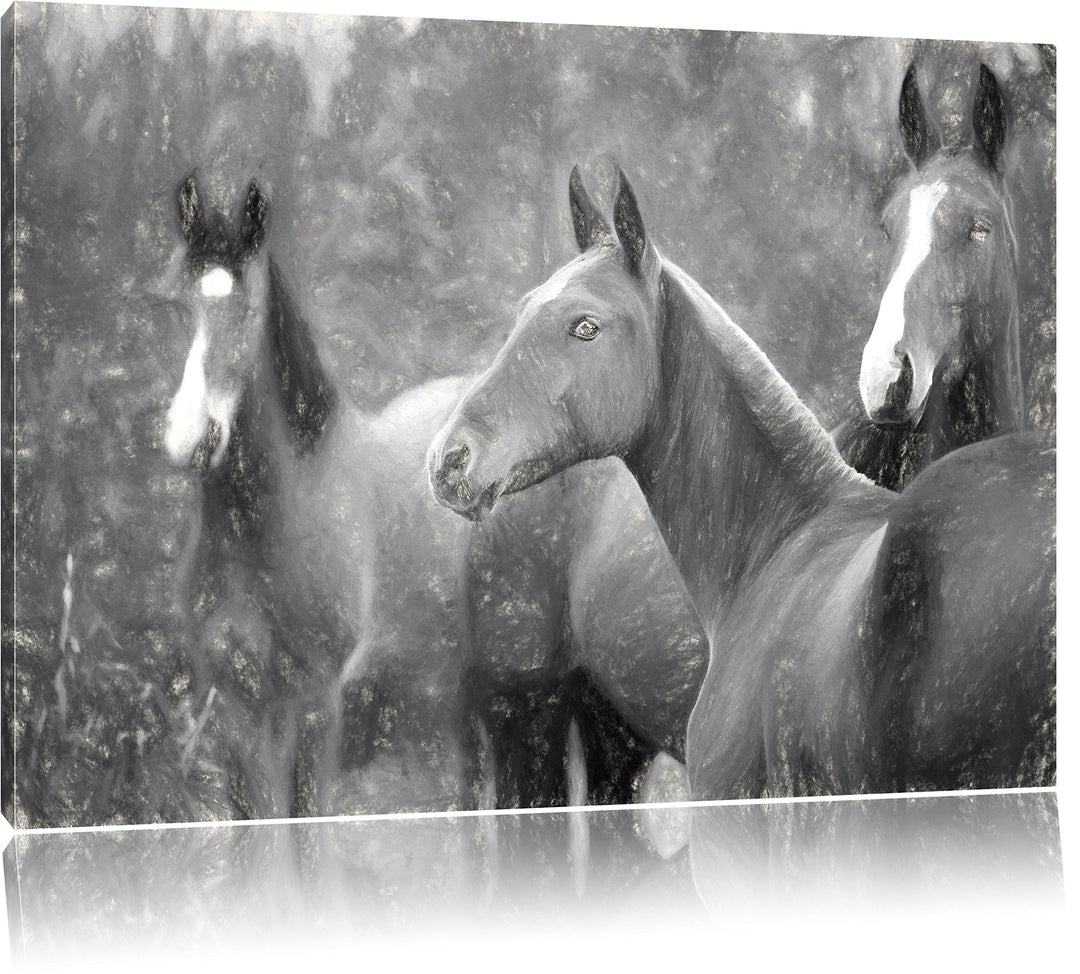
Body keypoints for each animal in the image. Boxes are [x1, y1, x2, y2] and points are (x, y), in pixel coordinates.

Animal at [159, 173, 707, 820]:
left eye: (246, 310)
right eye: (175, 302)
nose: (192, 435)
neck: (289, 508)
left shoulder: (316, 705)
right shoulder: (234, 711)